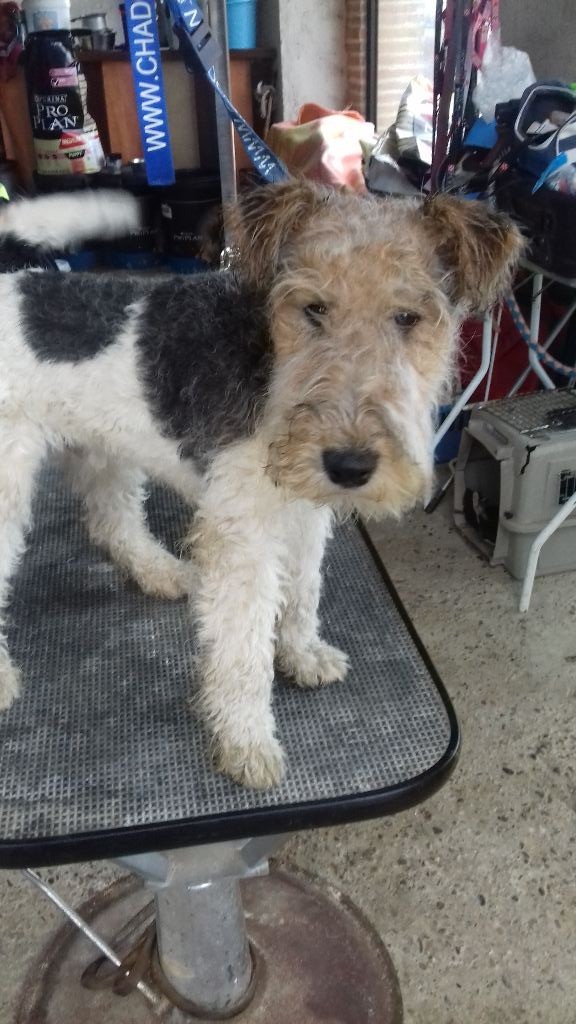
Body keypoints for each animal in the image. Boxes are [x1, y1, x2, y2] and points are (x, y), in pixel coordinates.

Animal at [0, 180, 523, 788]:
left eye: (408, 317)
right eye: (313, 308)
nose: (349, 466)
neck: (270, 366)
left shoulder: (301, 510)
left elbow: (302, 591)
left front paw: (303, 655)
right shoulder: (242, 533)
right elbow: (244, 650)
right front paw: (246, 741)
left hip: (104, 444)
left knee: (112, 522)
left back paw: (162, 572)